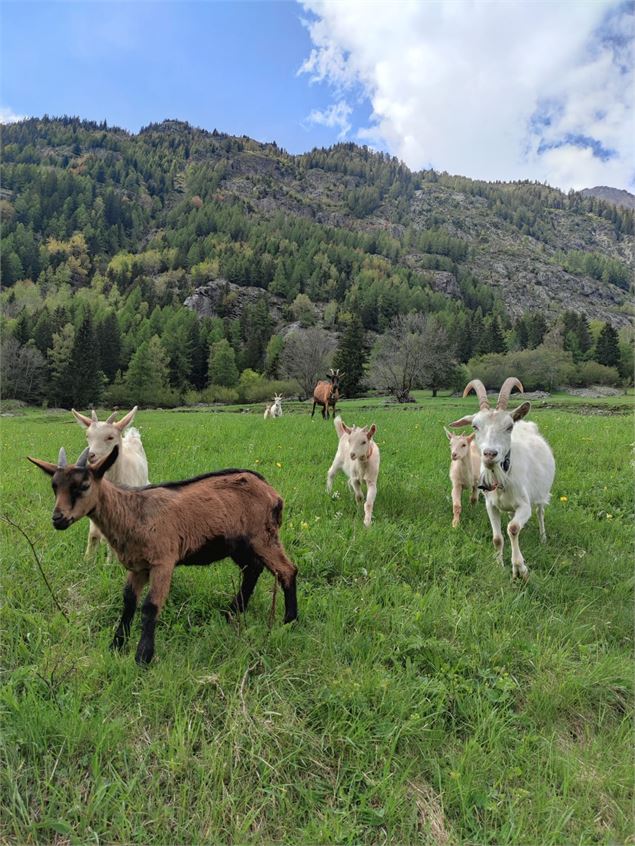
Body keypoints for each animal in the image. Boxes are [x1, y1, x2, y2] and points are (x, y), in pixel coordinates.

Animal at [27, 448, 300, 664]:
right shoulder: (138, 566)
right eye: (54, 486)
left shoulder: (163, 561)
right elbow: (128, 601)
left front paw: (143, 657)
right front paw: (117, 645)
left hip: (263, 536)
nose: (58, 519)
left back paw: (289, 622)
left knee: (286, 570)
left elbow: (150, 606)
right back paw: (231, 612)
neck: (133, 513)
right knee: (252, 569)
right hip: (238, 544)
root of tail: (271, 491)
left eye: (83, 486)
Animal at [71, 408, 148, 560]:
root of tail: (132, 436)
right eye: (88, 436)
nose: (91, 456)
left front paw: (110, 562)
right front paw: (87, 560)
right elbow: (94, 534)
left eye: (110, 437)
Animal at [450, 380, 556, 580]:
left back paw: (543, 537)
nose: (489, 454)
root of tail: (527, 425)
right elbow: (497, 538)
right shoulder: (490, 505)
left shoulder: (524, 505)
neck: (501, 478)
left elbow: (513, 528)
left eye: (509, 427)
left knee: (540, 513)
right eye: (475, 426)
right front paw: (499, 564)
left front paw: (520, 569)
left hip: (541, 494)